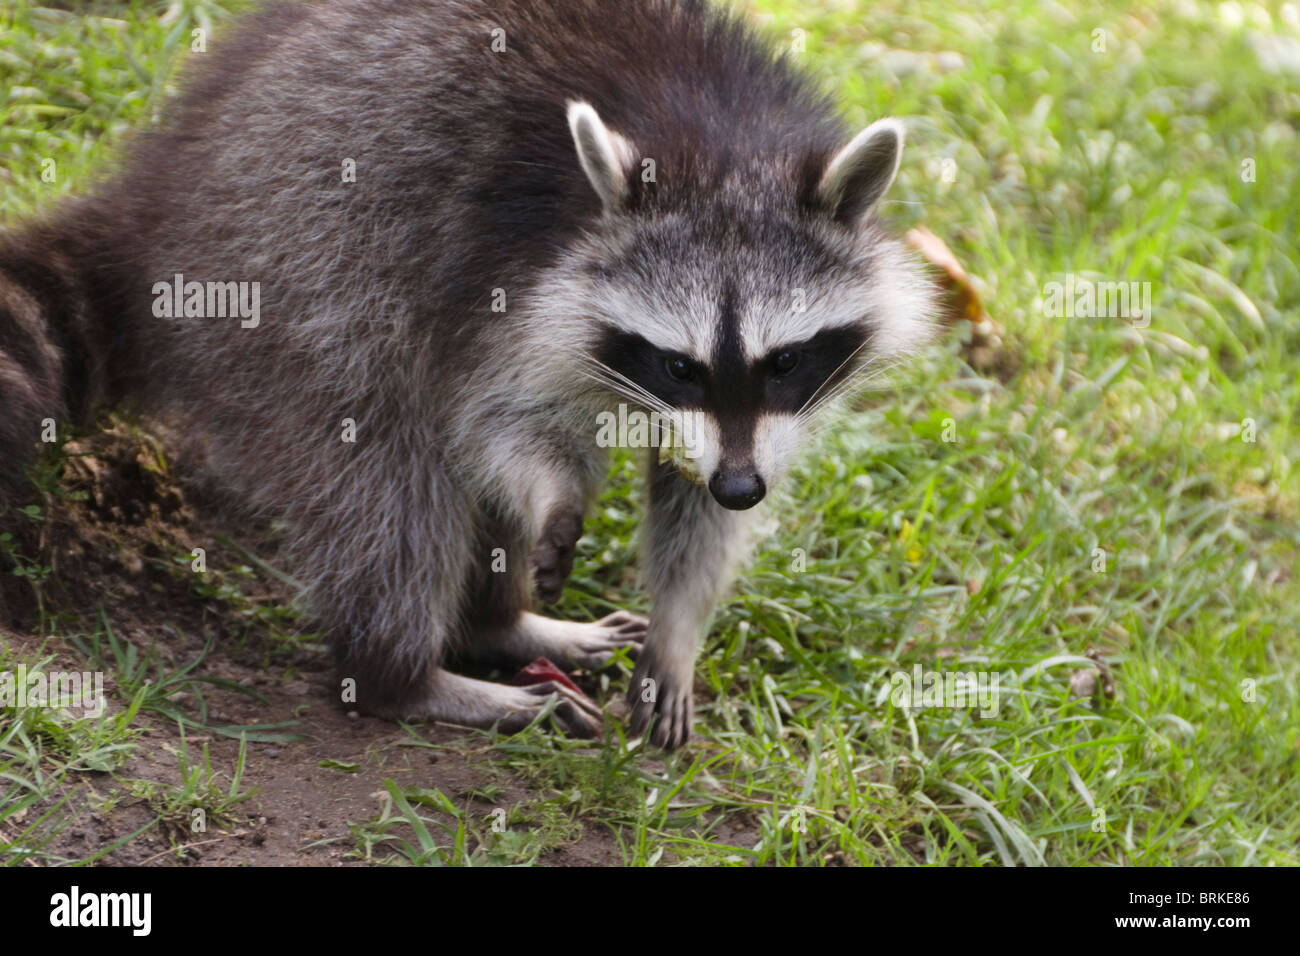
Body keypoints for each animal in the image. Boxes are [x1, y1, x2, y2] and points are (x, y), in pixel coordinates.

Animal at [0, 0, 934, 749]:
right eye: (679, 364)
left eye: (786, 362)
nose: (741, 488)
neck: (727, 147)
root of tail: (154, 202)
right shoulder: (509, 275)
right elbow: (493, 422)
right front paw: (558, 496)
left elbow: (692, 503)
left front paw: (679, 631)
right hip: (289, 275)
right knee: (390, 481)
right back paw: (404, 675)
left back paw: (500, 625)